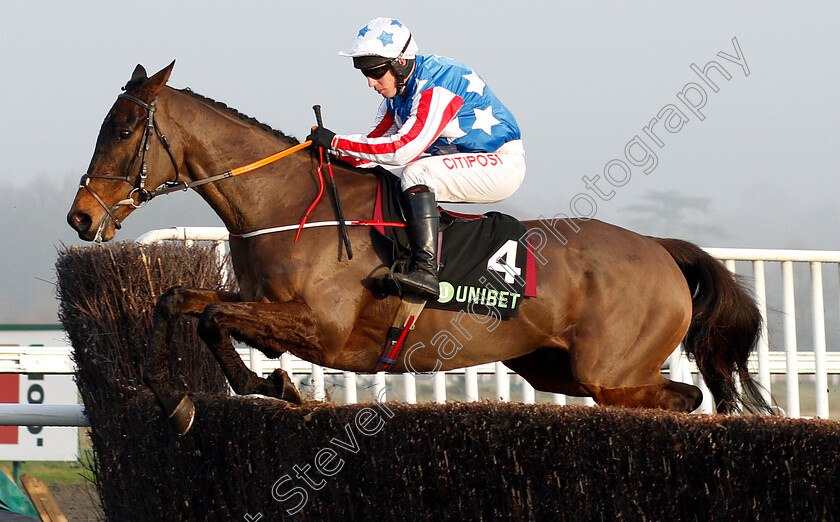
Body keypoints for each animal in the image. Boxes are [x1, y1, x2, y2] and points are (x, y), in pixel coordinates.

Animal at [67, 63, 776, 432]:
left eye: (123, 129)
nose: (81, 218)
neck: (284, 205)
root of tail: (658, 248)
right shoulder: (259, 301)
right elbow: (176, 299)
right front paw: (175, 398)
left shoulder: (323, 329)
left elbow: (214, 318)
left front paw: (275, 384)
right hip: (555, 366)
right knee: (682, 399)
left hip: (611, 370)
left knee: (683, 400)